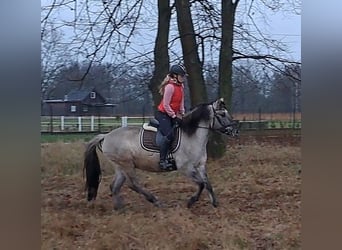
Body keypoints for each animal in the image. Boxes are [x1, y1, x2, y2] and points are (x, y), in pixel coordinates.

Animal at [83, 97, 238, 209]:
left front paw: (215, 203)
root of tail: (106, 136)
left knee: (115, 186)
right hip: (127, 164)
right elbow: (200, 184)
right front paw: (191, 202)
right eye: (222, 114)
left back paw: (119, 207)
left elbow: (207, 183)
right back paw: (155, 201)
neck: (191, 136)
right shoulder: (186, 168)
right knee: (133, 184)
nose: (235, 131)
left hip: (120, 167)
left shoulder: (200, 166)